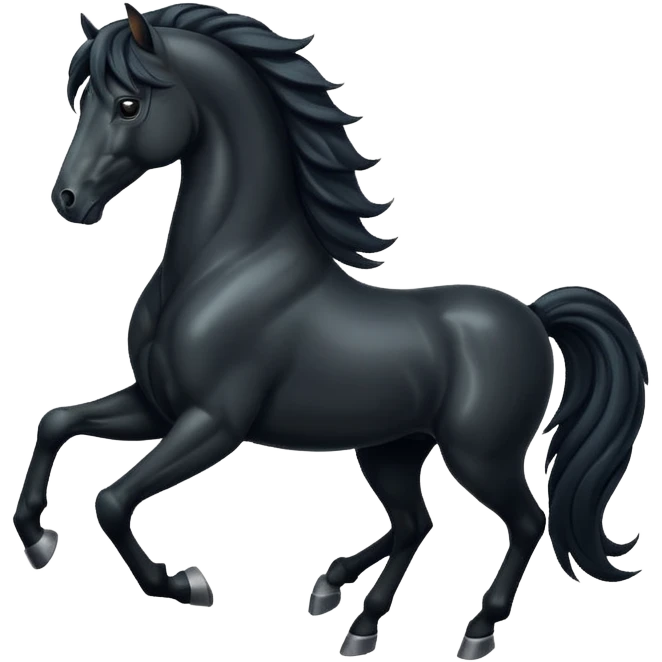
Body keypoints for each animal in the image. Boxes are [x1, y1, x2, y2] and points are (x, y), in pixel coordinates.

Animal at [18, 3, 648, 659]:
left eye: (128, 104)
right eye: (82, 102)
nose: (68, 200)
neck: (227, 265)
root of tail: (534, 315)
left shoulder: (213, 423)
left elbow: (112, 500)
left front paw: (184, 583)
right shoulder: (157, 406)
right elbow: (56, 422)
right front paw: (36, 537)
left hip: (481, 456)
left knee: (525, 521)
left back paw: (473, 628)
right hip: (392, 448)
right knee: (415, 523)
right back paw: (350, 609)